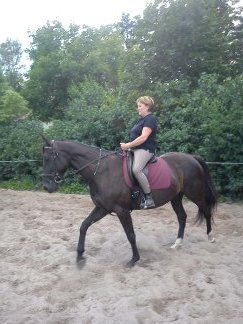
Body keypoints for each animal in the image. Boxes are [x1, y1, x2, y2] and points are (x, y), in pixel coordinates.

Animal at [42, 138, 218, 268]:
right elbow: (84, 226)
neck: (101, 171)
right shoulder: (102, 208)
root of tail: (192, 157)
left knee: (206, 210)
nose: (47, 187)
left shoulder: (122, 211)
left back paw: (210, 236)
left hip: (195, 194)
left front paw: (134, 260)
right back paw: (177, 243)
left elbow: (131, 235)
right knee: (182, 216)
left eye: (50, 158)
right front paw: (79, 257)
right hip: (175, 197)